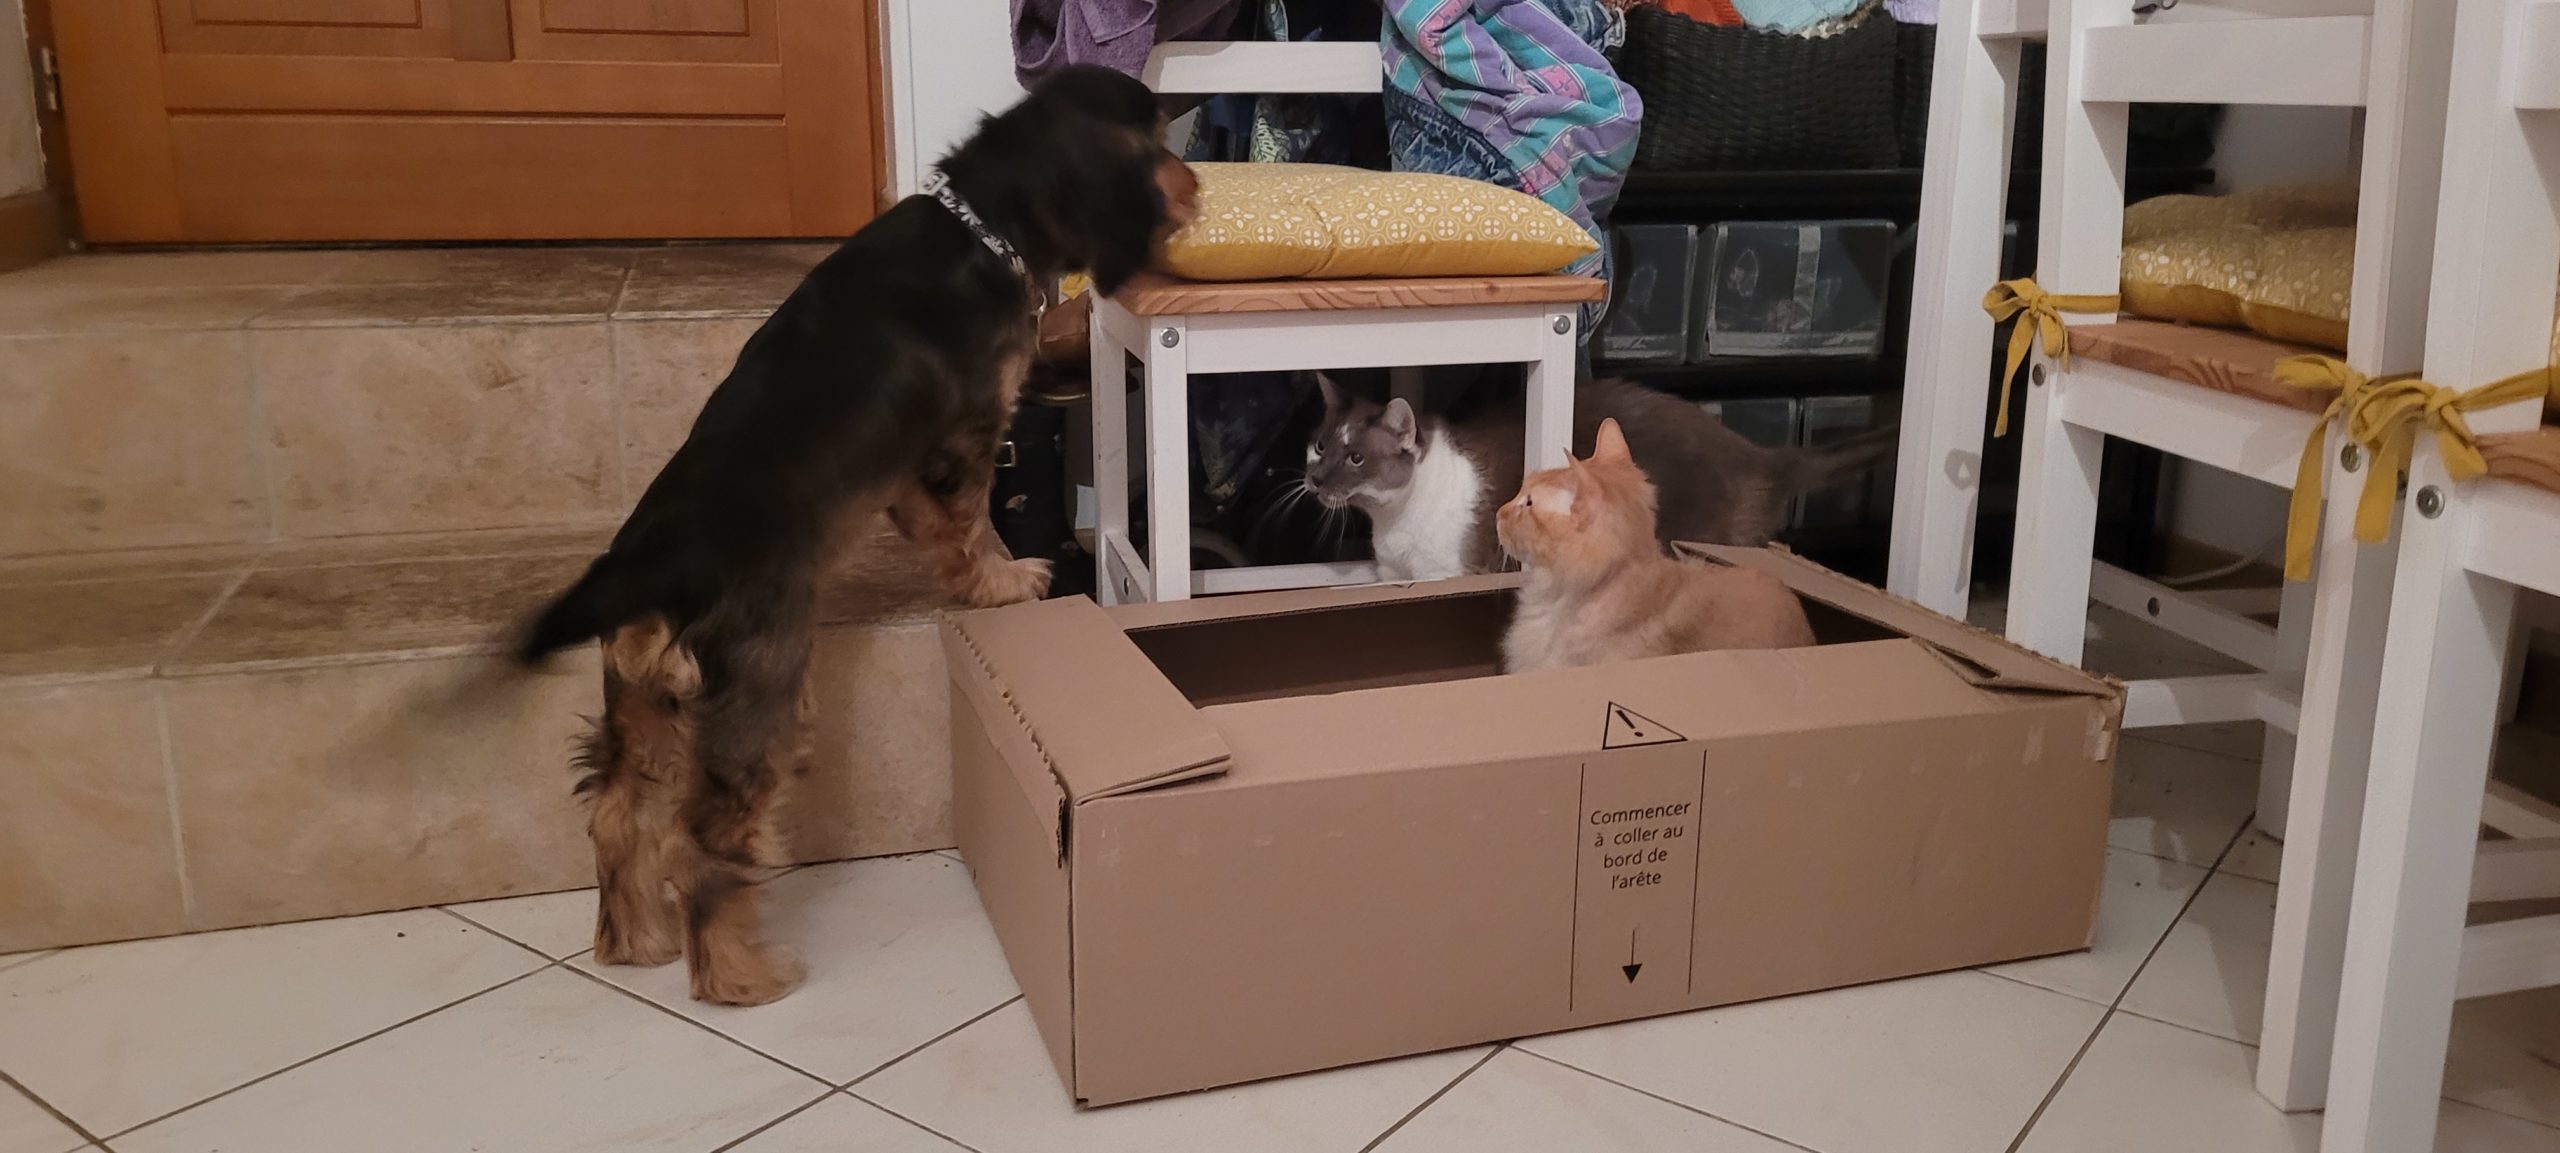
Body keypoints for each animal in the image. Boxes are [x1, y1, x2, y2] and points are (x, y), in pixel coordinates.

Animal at [517, 67, 1198, 1004]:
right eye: (1163, 138)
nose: (1199, 188)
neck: (983, 222)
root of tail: (646, 571)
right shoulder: (969, 430)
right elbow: (972, 525)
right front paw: (1007, 583)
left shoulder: (915, 464)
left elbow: (937, 524)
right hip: (758, 692)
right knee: (704, 840)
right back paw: (739, 977)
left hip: (641, 703)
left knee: (617, 814)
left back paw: (634, 941)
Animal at [1310, 376, 1894, 581]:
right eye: (1319, 445)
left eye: (1355, 458)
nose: (1314, 481)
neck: (1390, 523)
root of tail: (1757, 453)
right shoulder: (1391, 573)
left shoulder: (1444, 573)